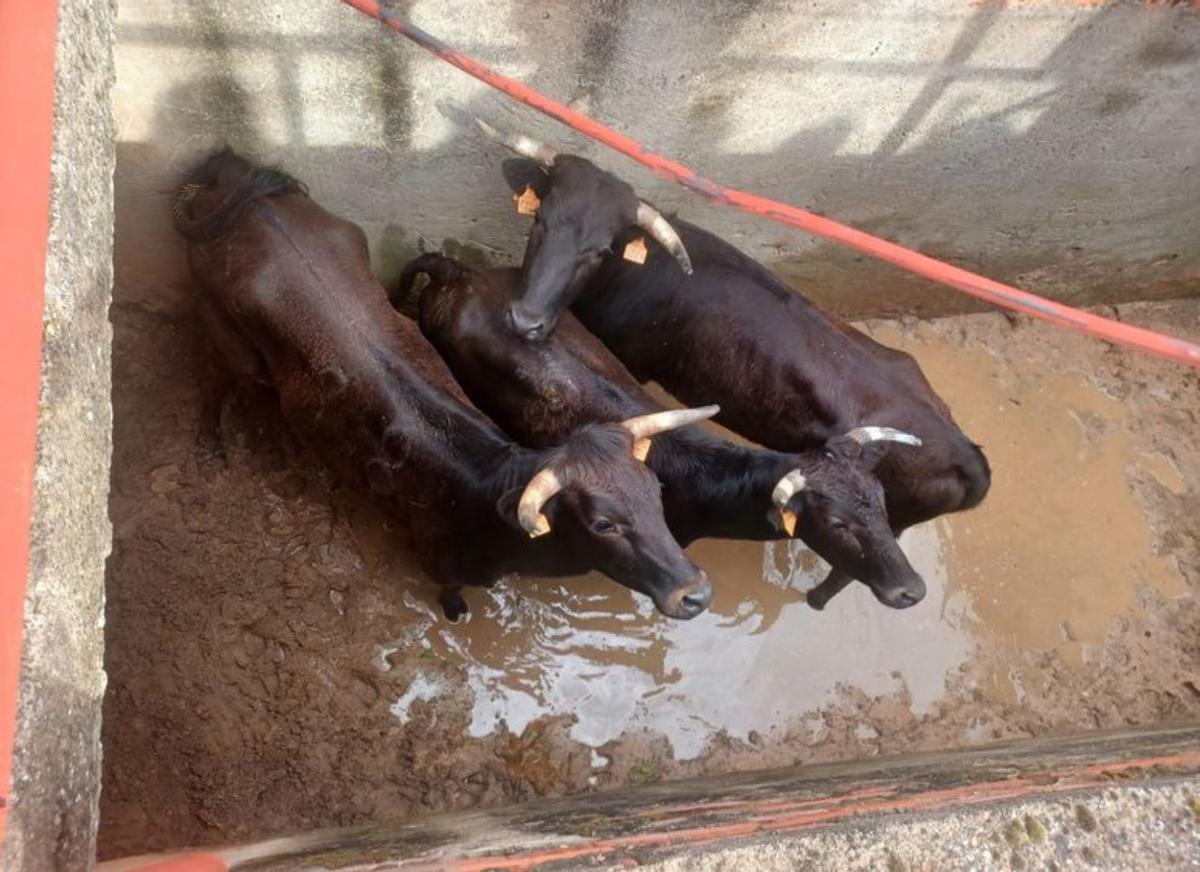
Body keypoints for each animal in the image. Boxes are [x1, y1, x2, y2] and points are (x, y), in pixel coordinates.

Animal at [175, 151, 720, 628]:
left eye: (655, 492)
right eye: (604, 523)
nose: (696, 594)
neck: (480, 493)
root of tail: (242, 182)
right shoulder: (437, 565)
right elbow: (453, 597)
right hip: (226, 336)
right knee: (216, 380)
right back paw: (212, 445)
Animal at [472, 121, 988, 606]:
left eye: (598, 249)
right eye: (539, 222)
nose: (525, 321)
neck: (637, 271)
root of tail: (970, 455)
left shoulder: (634, 361)